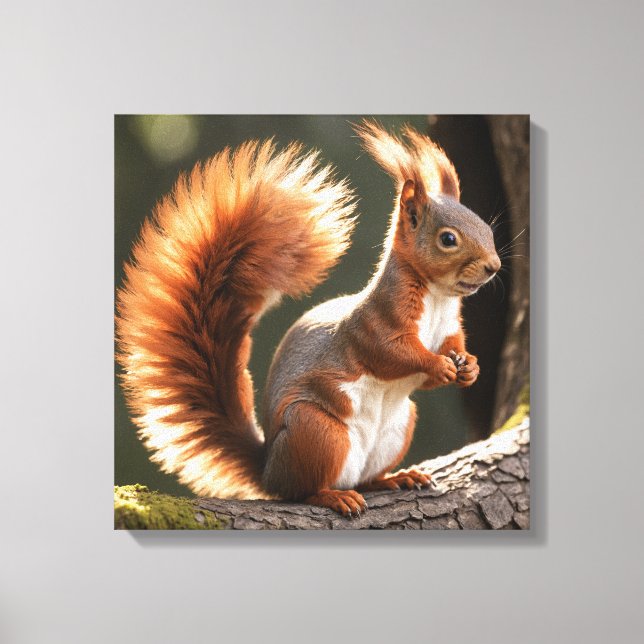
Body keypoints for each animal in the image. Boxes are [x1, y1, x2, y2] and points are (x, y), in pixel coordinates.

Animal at [116, 120, 501, 517]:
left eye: (487, 229)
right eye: (448, 239)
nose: (494, 266)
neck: (438, 298)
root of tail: (268, 468)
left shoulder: (449, 330)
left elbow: (449, 351)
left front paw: (469, 366)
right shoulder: (375, 324)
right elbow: (393, 354)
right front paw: (438, 365)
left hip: (397, 428)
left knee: (364, 479)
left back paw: (395, 478)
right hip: (314, 431)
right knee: (300, 490)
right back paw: (332, 496)